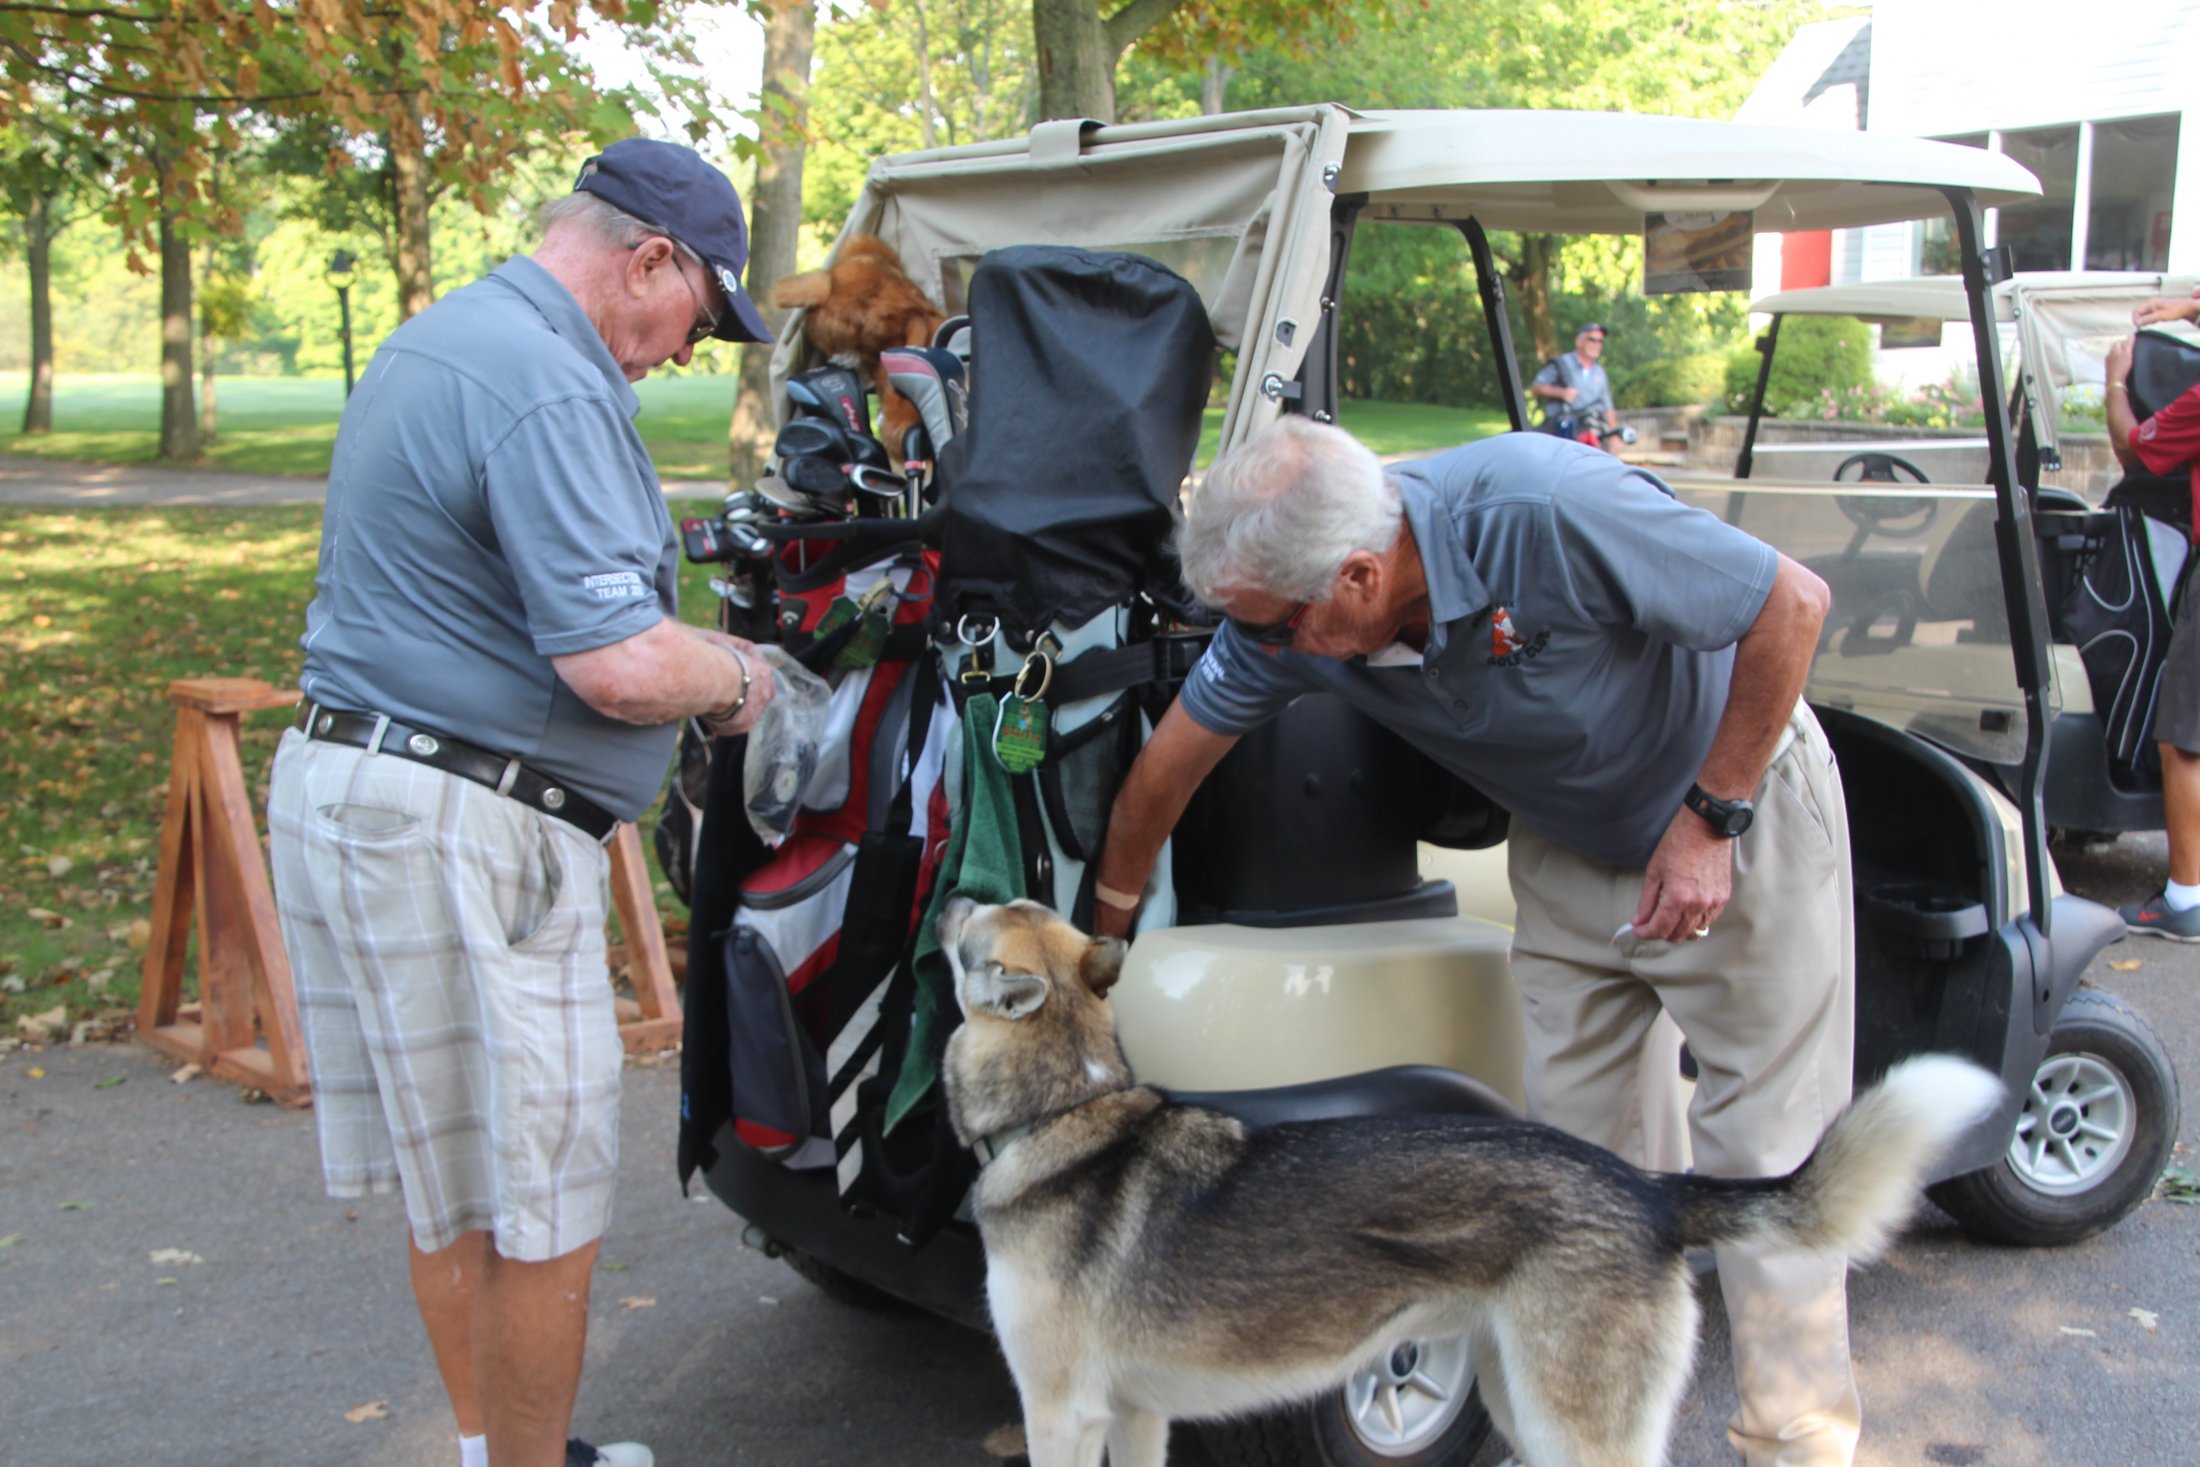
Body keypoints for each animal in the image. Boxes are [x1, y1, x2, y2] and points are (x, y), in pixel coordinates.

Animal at [936, 896, 2003, 1467]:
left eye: (975, 927)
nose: (945, 900)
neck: (1062, 1111)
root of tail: (1650, 1186)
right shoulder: (1136, 1414)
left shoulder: (1062, 1410)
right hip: (1519, 1400)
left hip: (1575, 1425)